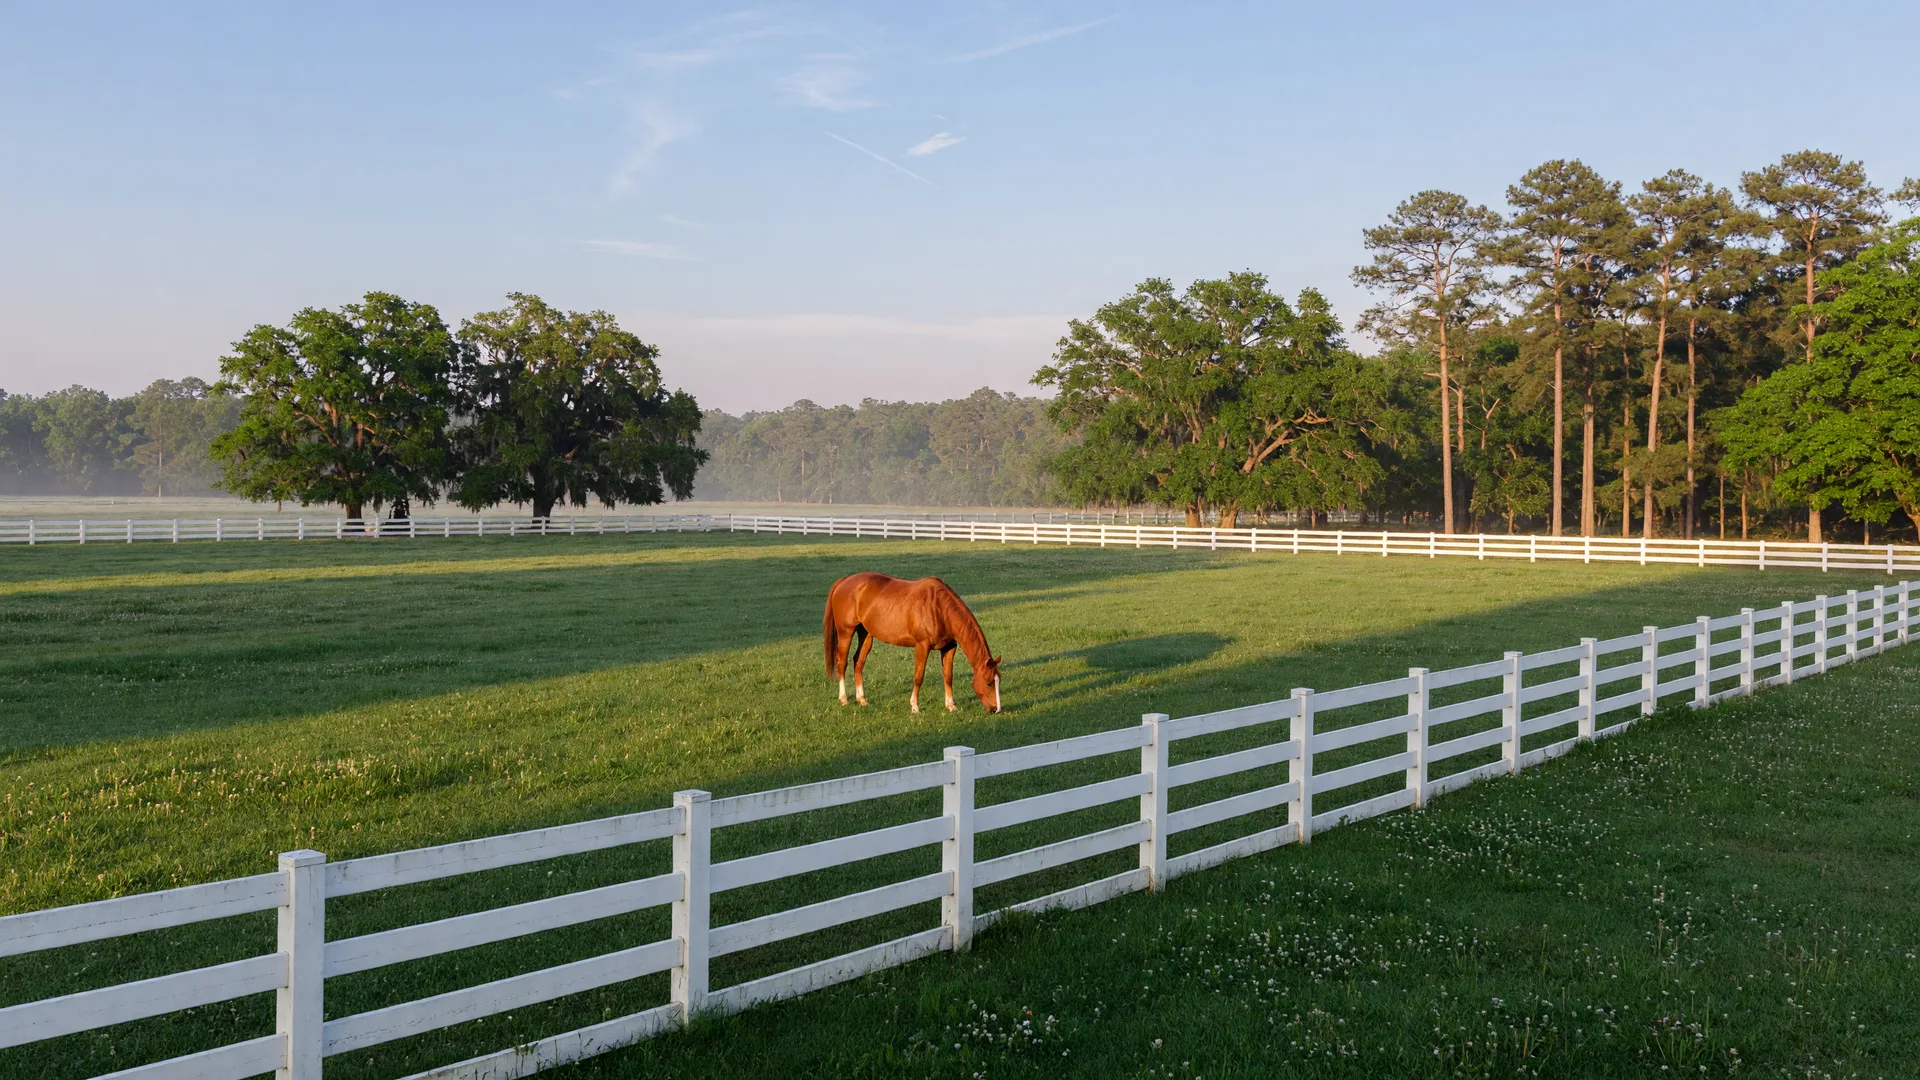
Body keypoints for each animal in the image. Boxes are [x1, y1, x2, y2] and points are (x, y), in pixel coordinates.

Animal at [823, 573, 1001, 713]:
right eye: (989, 683)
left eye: (999, 680)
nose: (997, 709)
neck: (940, 608)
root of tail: (844, 581)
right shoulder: (922, 646)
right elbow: (918, 677)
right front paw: (914, 706)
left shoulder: (949, 647)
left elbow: (948, 676)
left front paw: (951, 705)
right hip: (846, 632)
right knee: (842, 662)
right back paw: (844, 699)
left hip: (866, 634)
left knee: (858, 662)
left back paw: (862, 699)